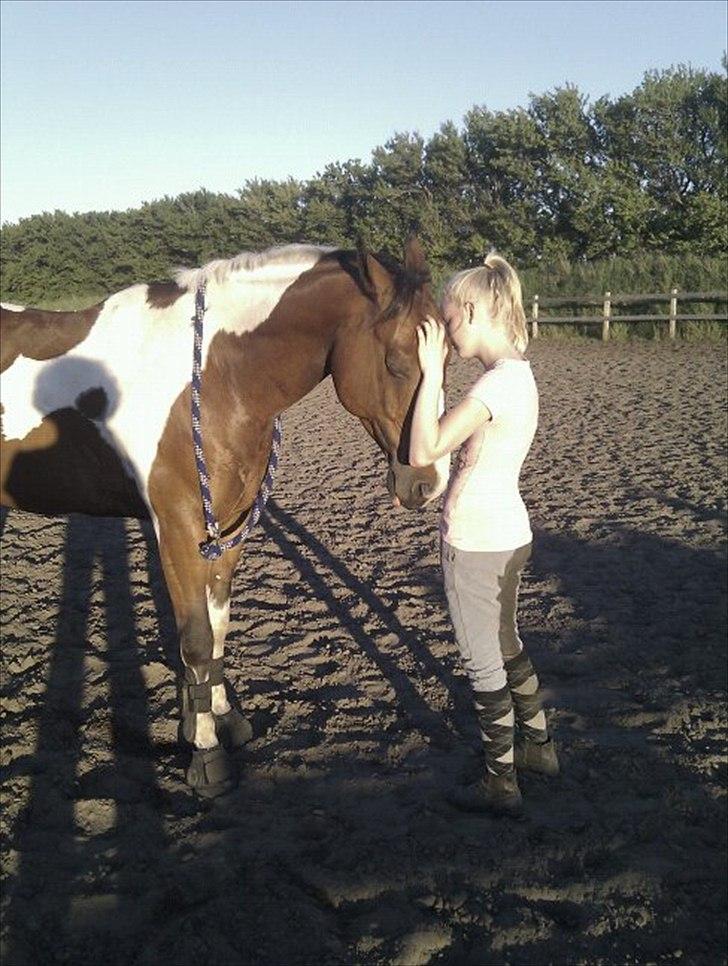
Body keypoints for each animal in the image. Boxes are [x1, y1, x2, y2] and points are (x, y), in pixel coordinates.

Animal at [0, 237, 448, 796]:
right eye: (396, 360)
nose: (427, 482)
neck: (217, 378)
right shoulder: (176, 529)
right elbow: (194, 641)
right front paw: (205, 756)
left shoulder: (227, 530)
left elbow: (216, 630)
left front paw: (223, 721)